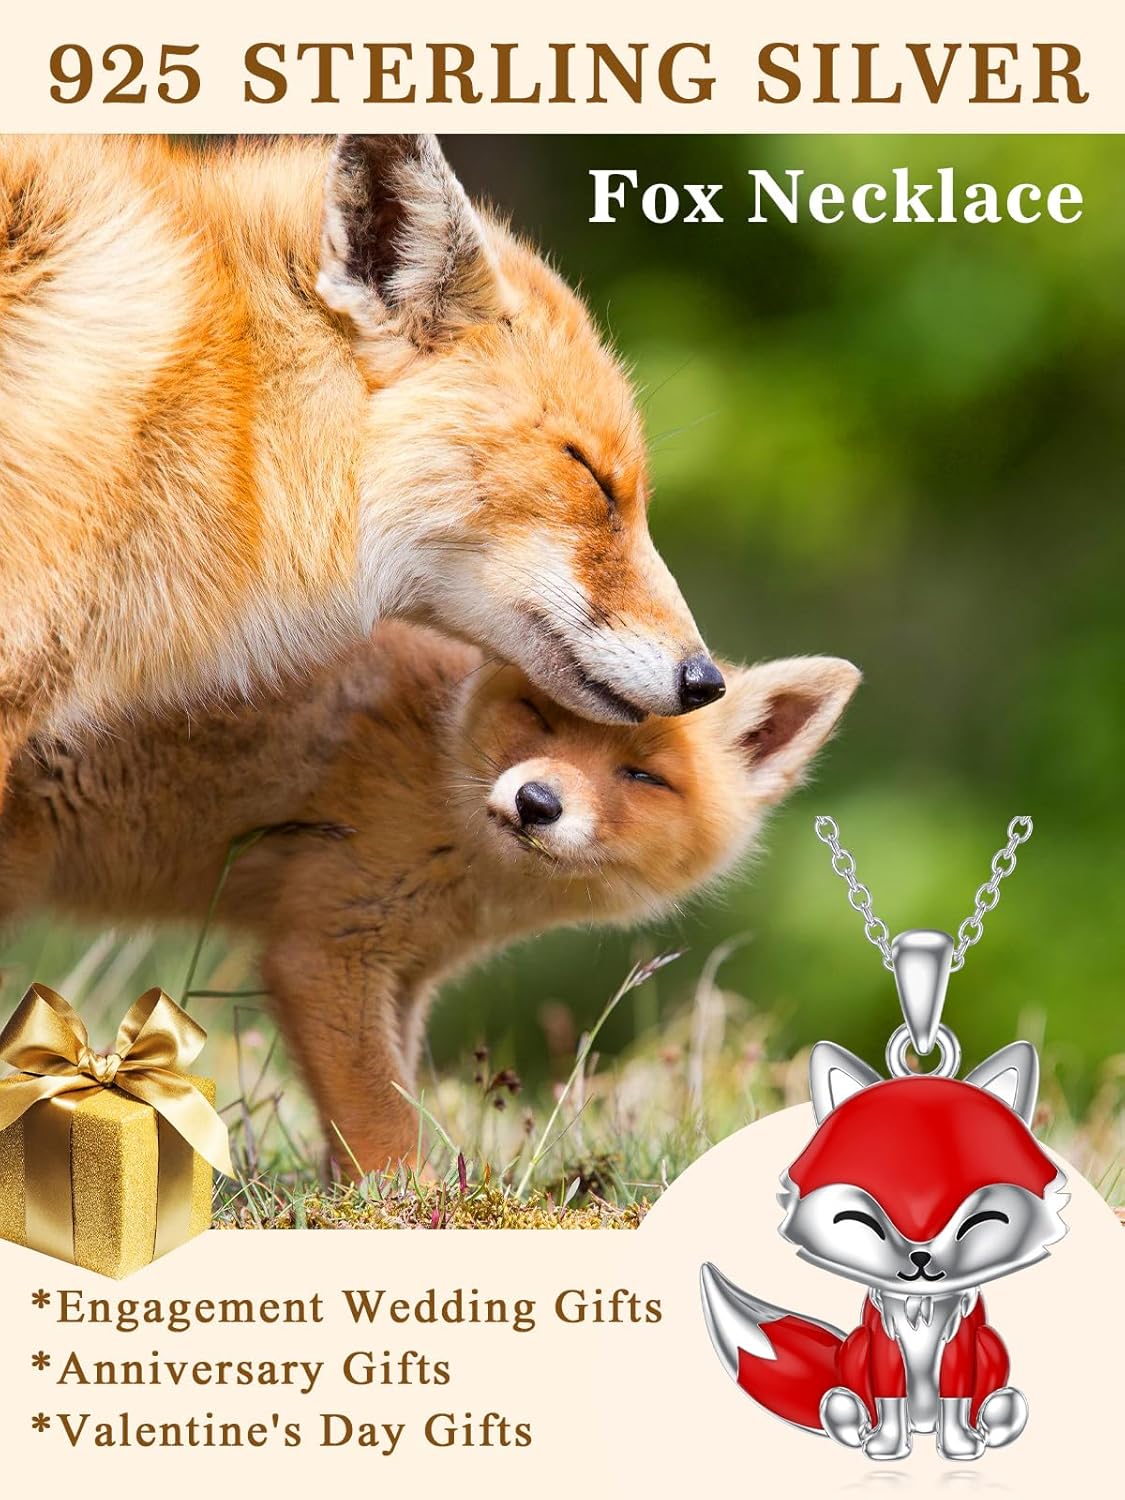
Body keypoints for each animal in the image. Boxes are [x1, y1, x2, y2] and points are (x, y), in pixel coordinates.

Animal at [0, 622, 858, 1170]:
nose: (536, 802)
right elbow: (381, 1117)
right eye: (539, 716)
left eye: (644, 776)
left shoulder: (406, 974)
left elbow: (391, 1096)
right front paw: (403, 1206)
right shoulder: (325, 953)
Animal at [701, 1040, 1069, 1461]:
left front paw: (958, 1447)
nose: (921, 1257)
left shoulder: (960, 1346)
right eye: (860, 1221)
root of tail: (923, 1425)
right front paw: (887, 1448)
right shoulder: (882, 1344)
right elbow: (889, 1398)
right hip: (857, 1348)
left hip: (989, 1345)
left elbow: (955, 1396)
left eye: (981, 1221)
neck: (920, 1306)